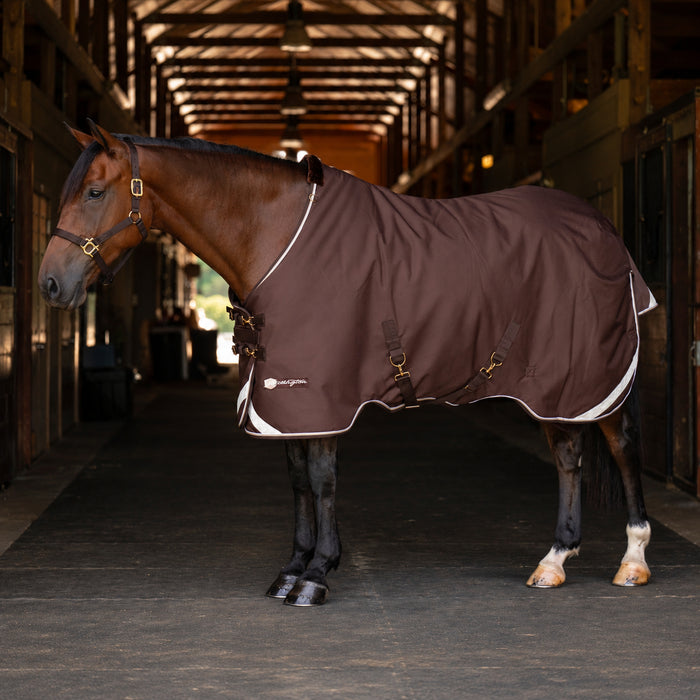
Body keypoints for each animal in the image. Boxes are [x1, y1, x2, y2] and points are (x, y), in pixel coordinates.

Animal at [38, 121, 654, 606]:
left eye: (94, 192)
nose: (50, 284)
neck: (276, 236)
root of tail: (601, 228)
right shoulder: (283, 397)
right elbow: (297, 481)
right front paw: (290, 571)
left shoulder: (322, 391)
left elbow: (322, 478)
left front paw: (316, 575)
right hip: (552, 381)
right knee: (568, 455)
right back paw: (554, 561)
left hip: (590, 375)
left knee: (622, 447)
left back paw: (632, 562)